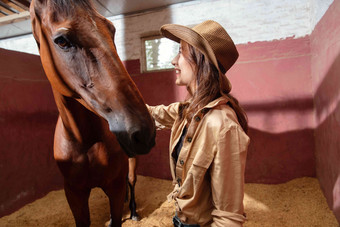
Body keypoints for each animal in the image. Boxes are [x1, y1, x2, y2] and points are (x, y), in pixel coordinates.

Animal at [29, 0, 155, 226]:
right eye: (61, 41)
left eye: (112, 30)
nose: (144, 131)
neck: (85, 141)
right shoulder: (74, 194)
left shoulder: (114, 187)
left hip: (132, 162)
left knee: (131, 181)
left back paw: (132, 211)